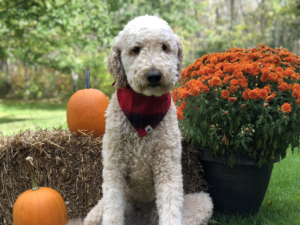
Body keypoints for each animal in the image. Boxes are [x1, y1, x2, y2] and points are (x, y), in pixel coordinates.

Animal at [68, 14, 213, 224]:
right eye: (136, 49)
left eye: (164, 47)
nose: (154, 75)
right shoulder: (114, 168)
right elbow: (113, 211)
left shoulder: (168, 168)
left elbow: (170, 209)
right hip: (97, 213)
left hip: (203, 201)